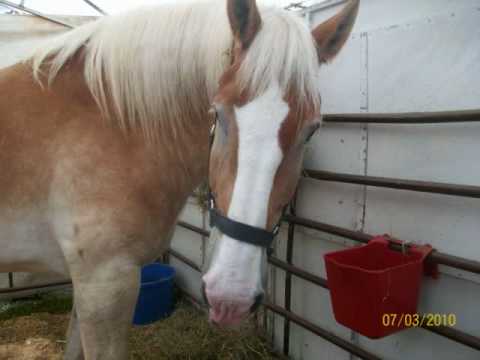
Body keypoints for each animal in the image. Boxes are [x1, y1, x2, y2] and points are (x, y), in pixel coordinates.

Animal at [0, 0, 358, 358]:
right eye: (218, 113)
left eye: (311, 130)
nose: (231, 297)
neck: (117, 126)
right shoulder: (104, 284)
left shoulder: (87, 284)